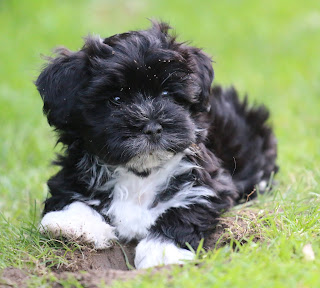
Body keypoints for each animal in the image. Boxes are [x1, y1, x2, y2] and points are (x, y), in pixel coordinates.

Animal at [36, 21, 278, 268]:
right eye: (116, 100)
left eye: (167, 93)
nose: (152, 126)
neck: (140, 173)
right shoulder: (72, 173)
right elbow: (70, 194)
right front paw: (73, 223)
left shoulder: (209, 185)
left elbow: (185, 212)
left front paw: (162, 251)